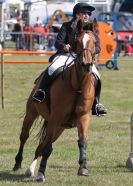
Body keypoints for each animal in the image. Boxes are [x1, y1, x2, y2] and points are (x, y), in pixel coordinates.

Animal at [13, 20, 96, 182]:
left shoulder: (83, 117)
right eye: (77, 41)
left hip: (60, 128)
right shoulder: (55, 118)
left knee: (43, 144)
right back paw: (18, 164)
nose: (85, 64)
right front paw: (41, 174)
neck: (78, 85)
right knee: (25, 136)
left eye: (94, 42)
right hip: (33, 114)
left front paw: (83, 168)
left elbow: (82, 141)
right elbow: (47, 148)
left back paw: (30, 169)